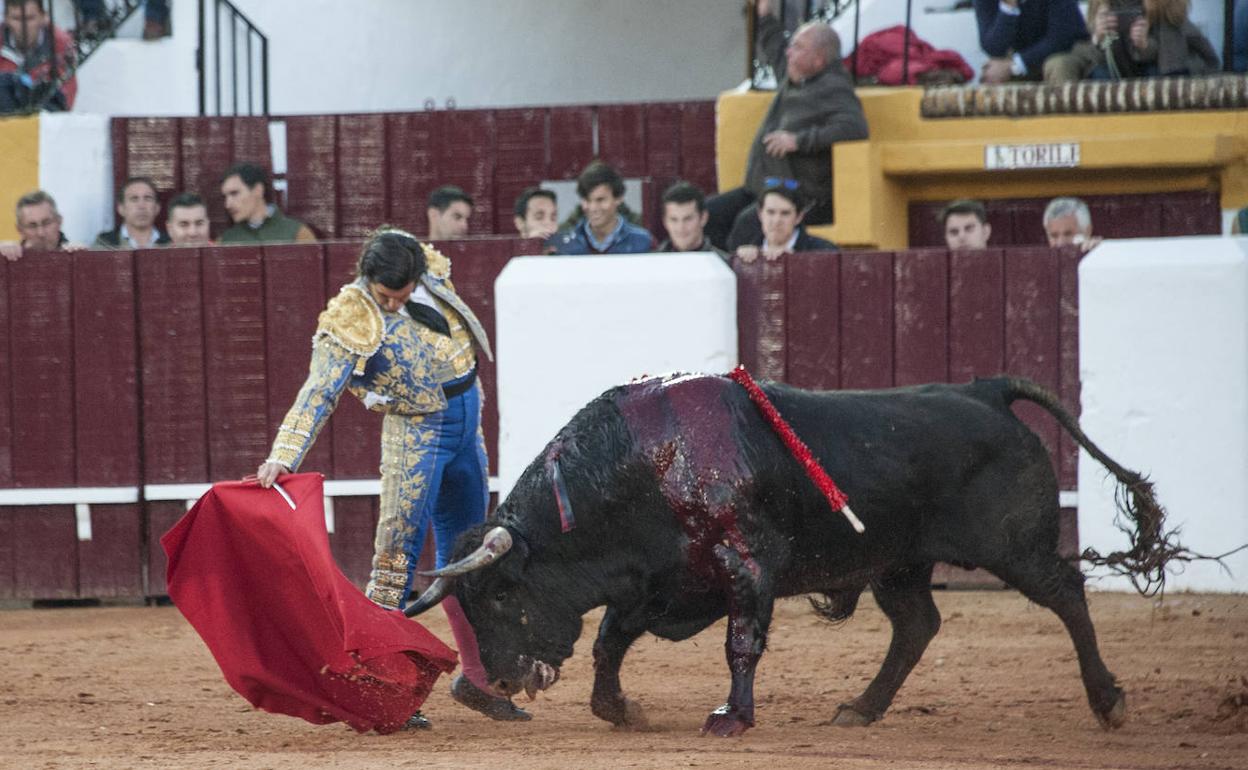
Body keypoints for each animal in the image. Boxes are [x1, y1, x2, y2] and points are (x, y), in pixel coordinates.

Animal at [404, 374, 1173, 733]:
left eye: (501, 592)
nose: (503, 681)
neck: (641, 468)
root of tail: (985, 390)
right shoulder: (661, 582)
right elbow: (610, 641)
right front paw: (618, 709)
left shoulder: (746, 566)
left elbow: (741, 643)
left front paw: (731, 719)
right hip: (898, 562)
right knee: (917, 624)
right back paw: (860, 709)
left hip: (1013, 547)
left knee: (1066, 593)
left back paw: (1109, 702)